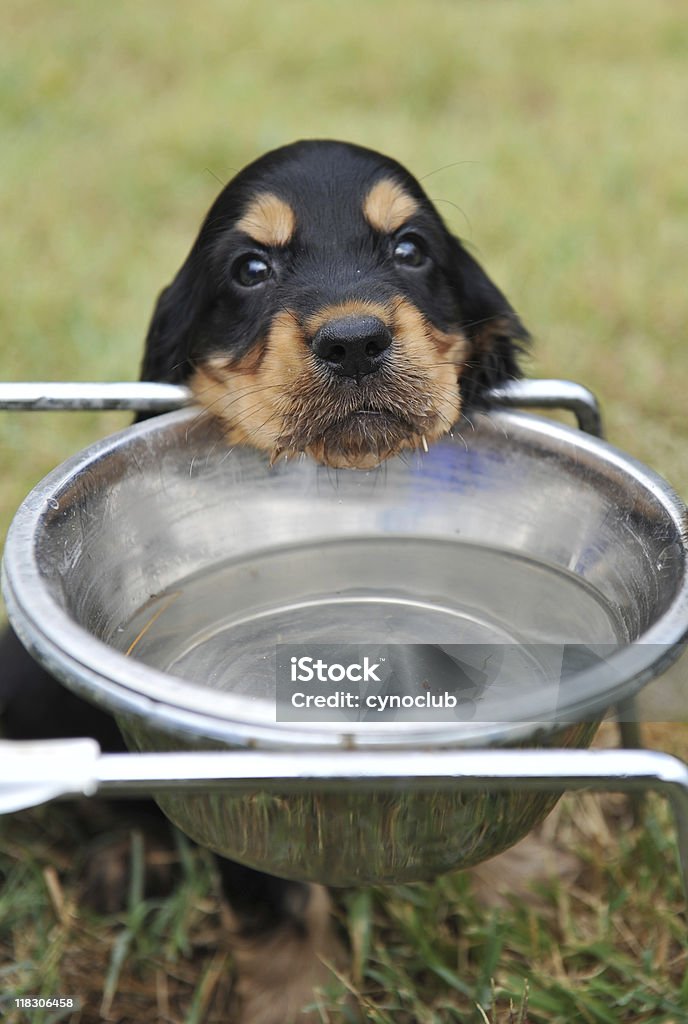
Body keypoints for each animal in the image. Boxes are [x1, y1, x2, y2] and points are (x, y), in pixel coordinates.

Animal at [0, 138, 528, 1024]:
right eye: (250, 268)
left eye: (410, 250)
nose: (354, 341)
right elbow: (275, 899)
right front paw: (297, 1002)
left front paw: (512, 894)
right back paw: (126, 863)